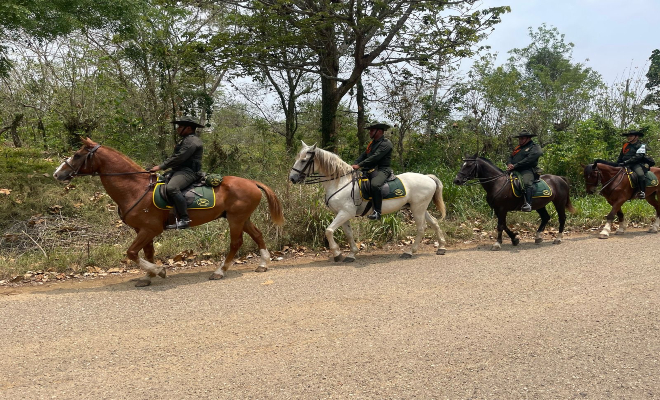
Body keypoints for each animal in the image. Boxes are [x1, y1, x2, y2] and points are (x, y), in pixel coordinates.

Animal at [53, 137, 284, 287]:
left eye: (77, 155)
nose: (57, 174)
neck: (135, 188)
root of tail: (252, 183)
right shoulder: (142, 230)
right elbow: (147, 253)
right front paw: (147, 277)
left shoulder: (150, 229)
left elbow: (131, 253)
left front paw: (159, 271)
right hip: (242, 218)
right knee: (257, 235)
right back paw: (263, 264)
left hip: (236, 219)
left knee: (236, 243)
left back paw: (220, 271)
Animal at [288, 141, 447, 261]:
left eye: (304, 160)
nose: (292, 178)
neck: (340, 182)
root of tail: (428, 177)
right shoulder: (342, 214)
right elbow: (348, 234)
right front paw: (352, 254)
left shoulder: (345, 213)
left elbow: (329, 230)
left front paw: (337, 254)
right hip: (420, 207)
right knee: (434, 223)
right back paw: (441, 247)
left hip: (417, 208)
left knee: (421, 228)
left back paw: (409, 252)